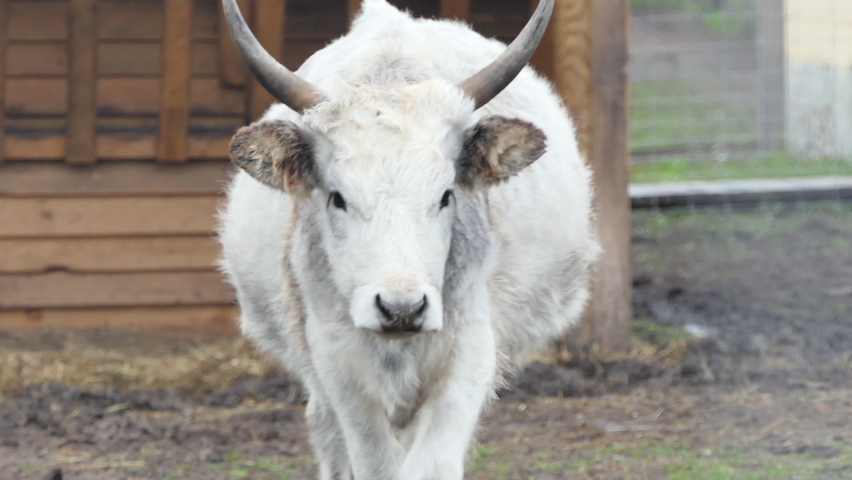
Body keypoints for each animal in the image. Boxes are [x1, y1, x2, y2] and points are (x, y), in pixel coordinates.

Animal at [217, 0, 598, 478]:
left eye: (446, 194)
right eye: (337, 197)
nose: (402, 308)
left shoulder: (469, 357)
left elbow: (432, 463)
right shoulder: (339, 369)